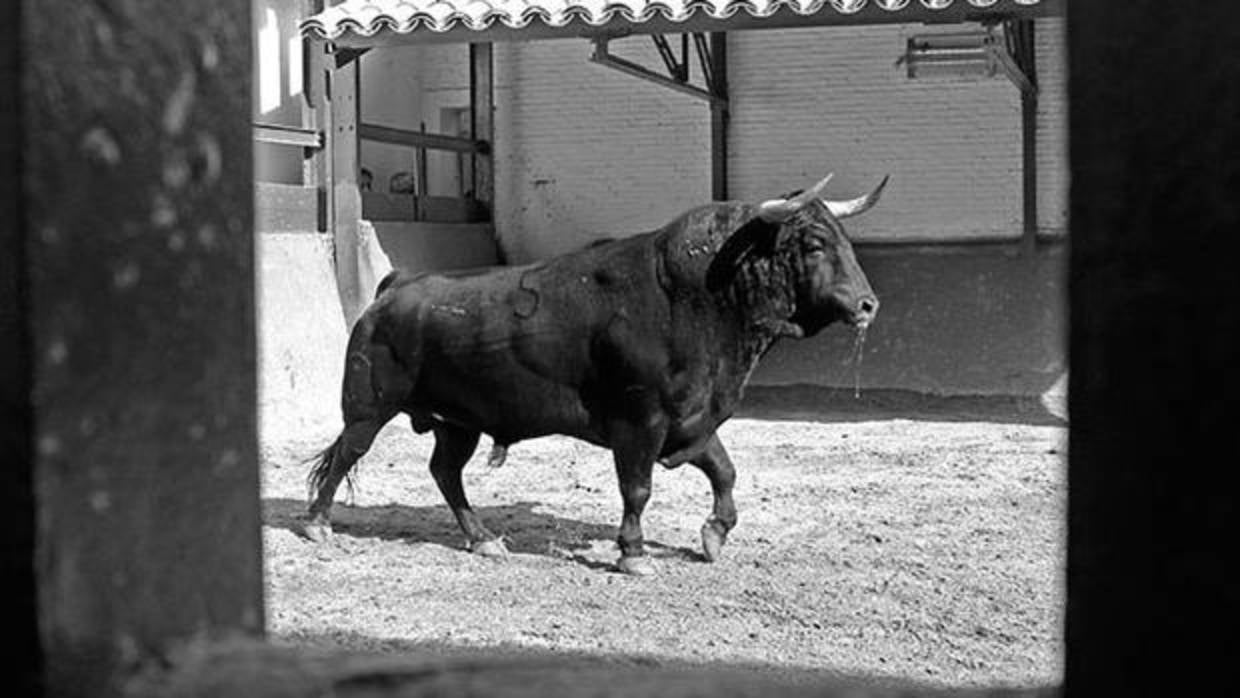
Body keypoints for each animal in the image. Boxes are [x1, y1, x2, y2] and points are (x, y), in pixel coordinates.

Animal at [305, 173, 887, 572]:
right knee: (347, 454)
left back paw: (483, 537)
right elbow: (638, 488)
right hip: (368, 407)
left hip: (458, 422)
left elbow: (724, 472)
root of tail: (398, 285)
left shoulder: (693, 419)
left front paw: (715, 533)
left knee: (445, 472)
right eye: (813, 243)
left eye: (843, 238)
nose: (867, 304)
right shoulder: (640, 422)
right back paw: (317, 524)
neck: (696, 297)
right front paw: (633, 553)